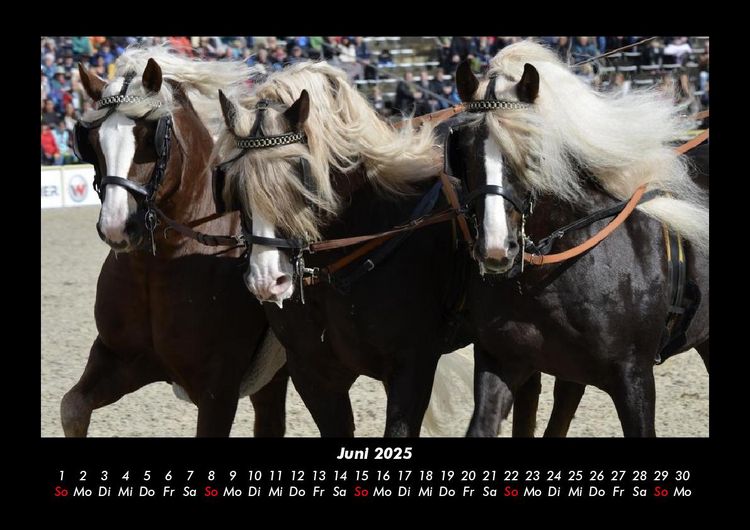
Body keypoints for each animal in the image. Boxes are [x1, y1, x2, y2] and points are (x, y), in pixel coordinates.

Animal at [60, 46, 288, 437]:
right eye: (91, 141)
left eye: (149, 134)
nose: (117, 226)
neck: (157, 267)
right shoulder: (119, 360)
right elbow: (71, 409)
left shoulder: (217, 392)